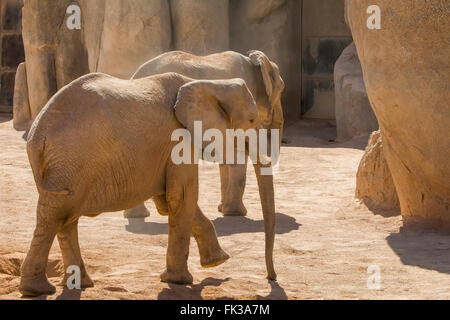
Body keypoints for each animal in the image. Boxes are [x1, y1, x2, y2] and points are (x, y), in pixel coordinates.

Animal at [19, 72, 276, 298]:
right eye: (251, 119)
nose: (271, 278)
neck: (207, 83)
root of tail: (36, 133)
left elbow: (170, 201)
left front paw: (217, 262)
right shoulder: (179, 138)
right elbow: (182, 197)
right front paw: (180, 280)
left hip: (62, 168)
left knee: (63, 218)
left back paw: (78, 284)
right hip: (70, 161)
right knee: (57, 216)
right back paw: (37, 290)